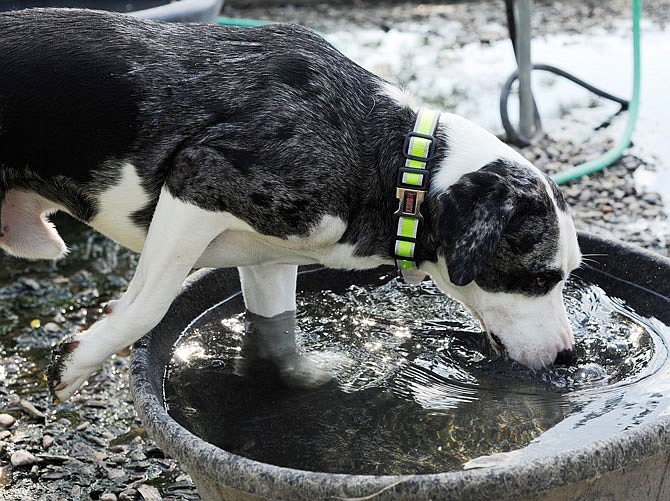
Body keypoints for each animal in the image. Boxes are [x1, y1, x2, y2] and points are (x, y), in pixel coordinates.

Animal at [0, 7, 584, 400]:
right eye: (538, 278)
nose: (569, 354)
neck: (390, 158)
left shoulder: (269, 258)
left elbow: (278, 331)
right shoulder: (197, 180)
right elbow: (147, 306)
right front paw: (76, 364)